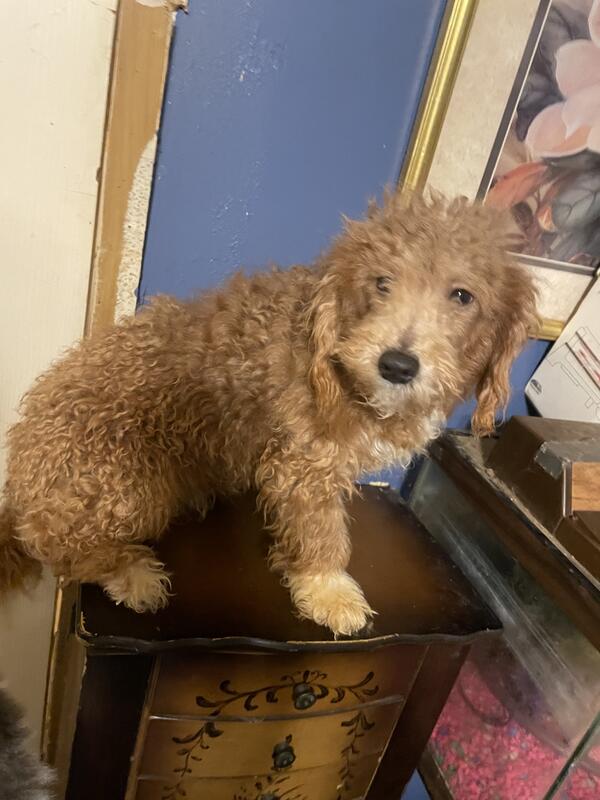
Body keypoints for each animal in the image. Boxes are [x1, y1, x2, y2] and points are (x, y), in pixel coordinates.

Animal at [0, 193, 537, 636]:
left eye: (462, 295)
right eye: (382, 283)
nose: (398, 365)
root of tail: (20, 487)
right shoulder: (304, 466)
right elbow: (322, 533)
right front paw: (328, 590)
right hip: (129, 489)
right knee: (62, 552)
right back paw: (130, 573)